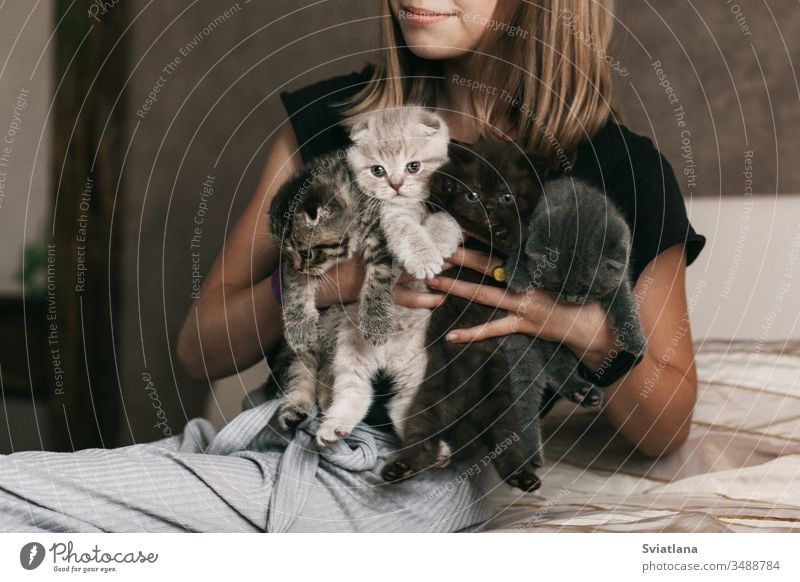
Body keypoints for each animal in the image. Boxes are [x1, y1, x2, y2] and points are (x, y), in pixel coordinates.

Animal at [506, 176, 648, 468]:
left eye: (586, 290)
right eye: (557, 286)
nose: (571, 299)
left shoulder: (618, 281)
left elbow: (625, 302)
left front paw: (635, 341)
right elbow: (518, 249)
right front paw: (518, 276)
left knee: (559, 368)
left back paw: (582, 391)